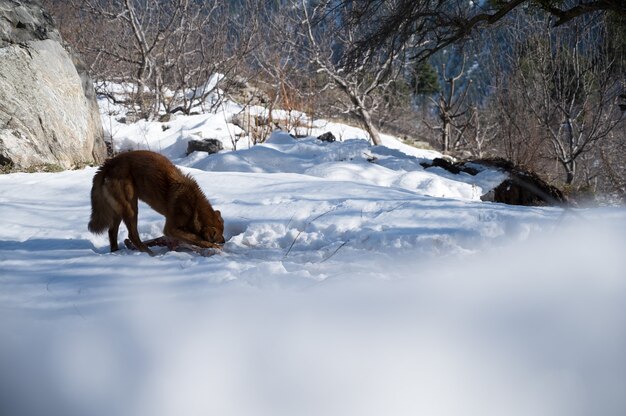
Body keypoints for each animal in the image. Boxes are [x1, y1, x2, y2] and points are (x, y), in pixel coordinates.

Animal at [87, 150, 224, 254]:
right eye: (217, 237)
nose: (224, 241)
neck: (194, 206)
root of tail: (109, 163)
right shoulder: (170, 229)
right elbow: (195, 237)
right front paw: (213, 246)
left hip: (119, 210)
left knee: (112, 232)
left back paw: (116, 252)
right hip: (131, 208)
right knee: (132, 236)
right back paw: (150, 254)